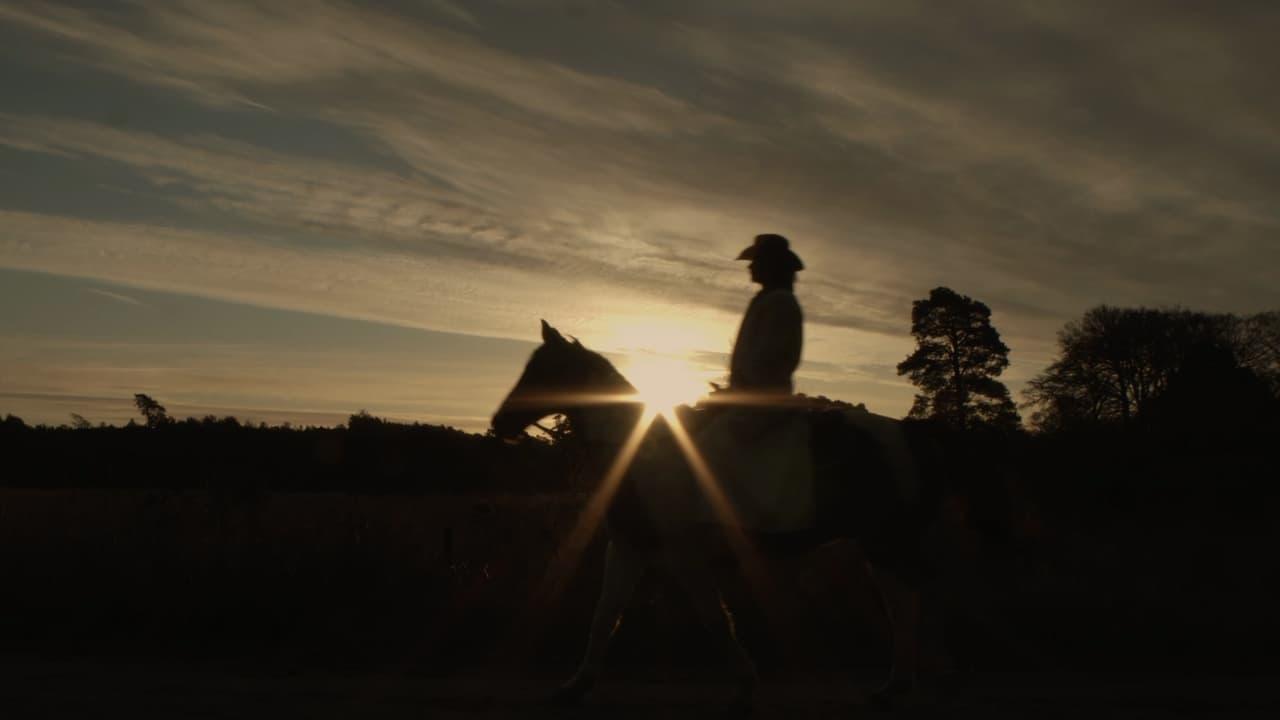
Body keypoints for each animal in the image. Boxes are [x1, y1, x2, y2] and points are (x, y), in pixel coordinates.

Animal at [488, 319, 942, 707]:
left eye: (544, 371)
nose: (499, 423)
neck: (638, 450)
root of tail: (906, 432)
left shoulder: (684, 554)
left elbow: (714, 617)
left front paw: (745, 683)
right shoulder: (629, 544)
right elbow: (605, 615)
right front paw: (575, 685)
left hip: (885, 540)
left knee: (903, 604)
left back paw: (896, 685)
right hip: (883, 543)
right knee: (903, 602)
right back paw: (894, 685)